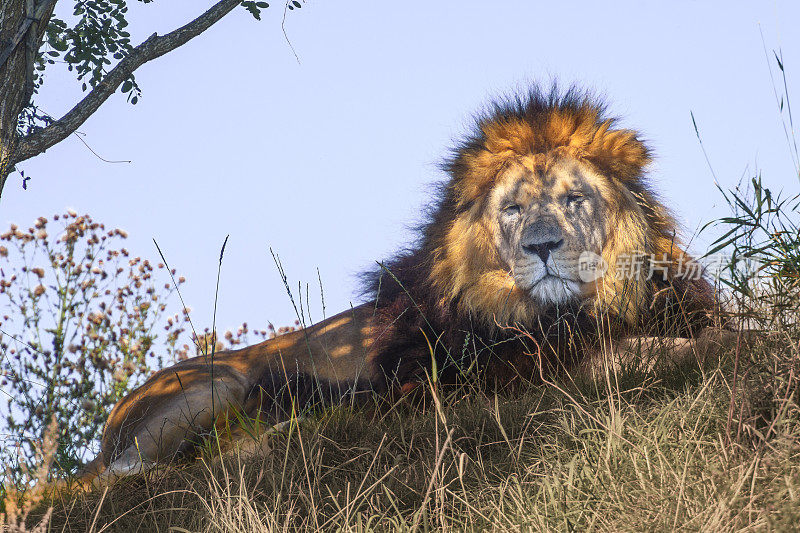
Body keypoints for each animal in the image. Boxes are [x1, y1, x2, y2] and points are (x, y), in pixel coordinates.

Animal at [78, 85, 720, 484]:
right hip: (215, 386)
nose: (541, 247)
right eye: (512, 208)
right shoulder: (494, 373)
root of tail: (105, 431)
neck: (564, 314)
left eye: (573, 199)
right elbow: (645, 352)